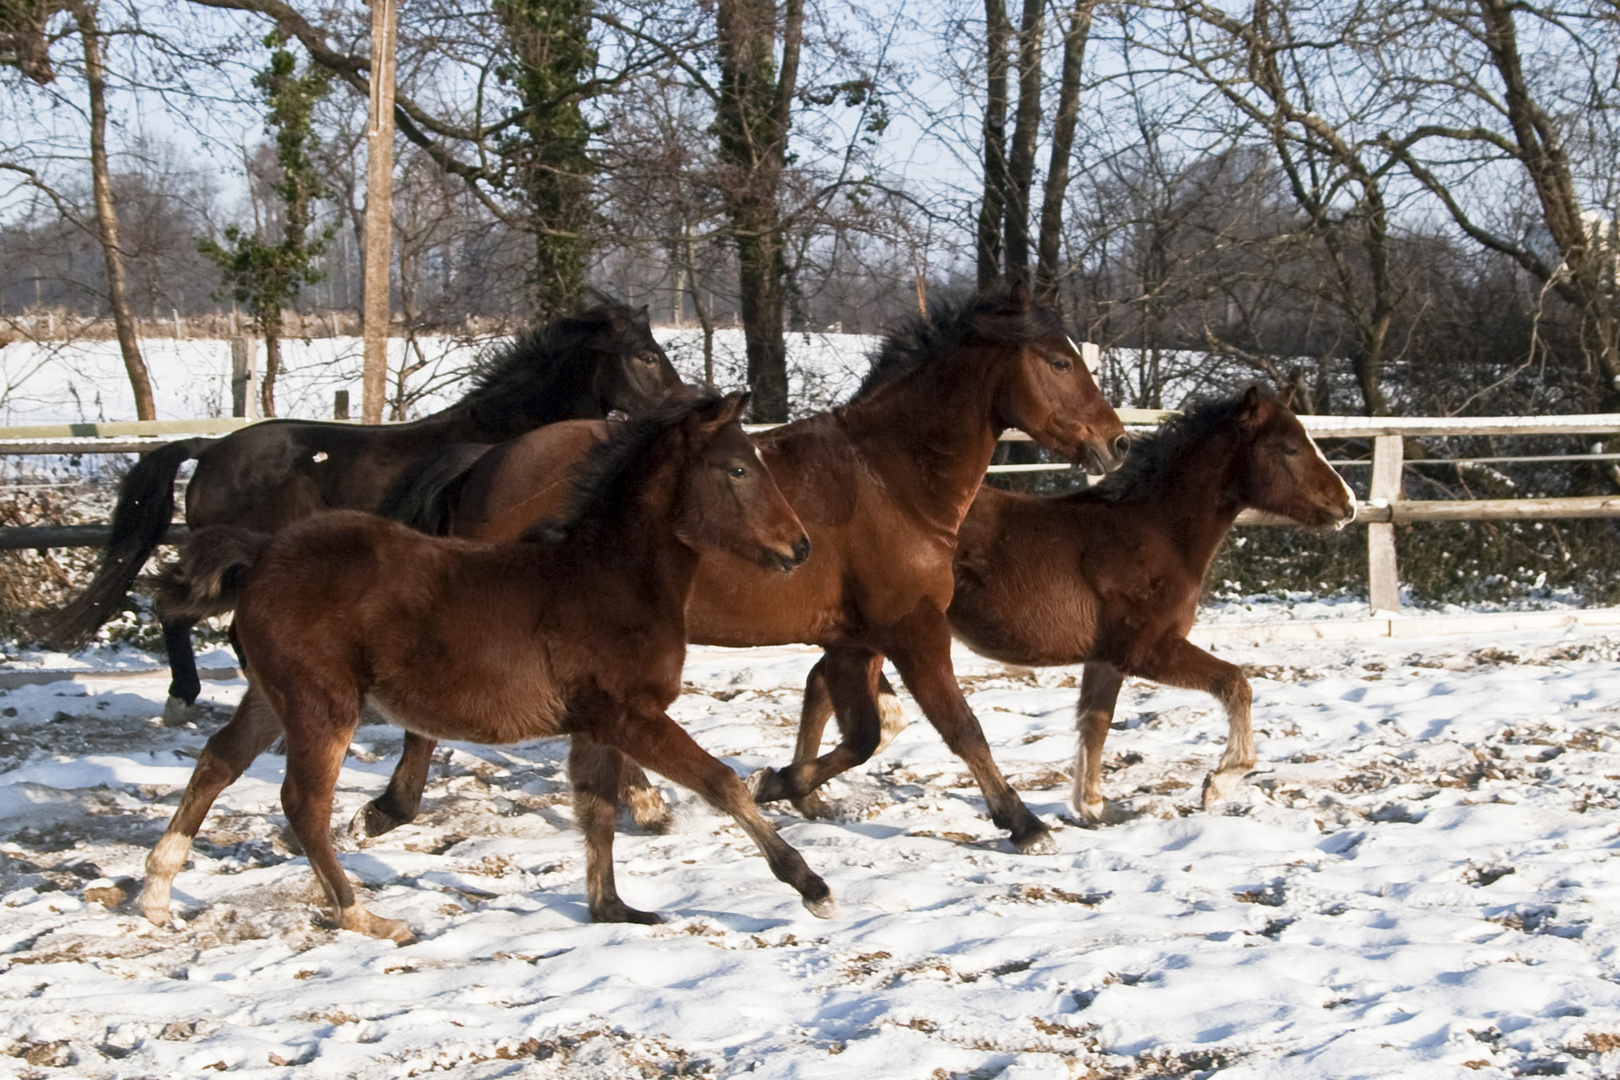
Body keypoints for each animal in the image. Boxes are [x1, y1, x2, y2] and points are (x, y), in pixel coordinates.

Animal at [140, 393, 829, 939]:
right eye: (737, 469)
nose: (799, 547)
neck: (610, 579)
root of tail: (262, 554)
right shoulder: (631, 714)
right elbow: (722, 782)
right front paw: (810, 886)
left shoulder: (595, 724)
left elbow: (598, 812)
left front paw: (613, 909)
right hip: (321, 705)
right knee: (303, 803)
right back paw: (366, 917)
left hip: (271, 696)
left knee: (217, 762)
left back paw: (155, 892)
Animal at [356, 283, 1127, 854]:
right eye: (1059, 362)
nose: (1115, 442)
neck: (888, 480)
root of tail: (484, 464)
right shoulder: (912, 630)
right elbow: (959, 726)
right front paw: (1022, 823)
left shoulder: (852, 642)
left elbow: (862, 733)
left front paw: (781, 784)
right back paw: (395, 808)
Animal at [784, 388, 1354, 829]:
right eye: (1289, 448)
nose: (1346, 504)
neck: (1153, 532)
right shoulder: (1148, 650)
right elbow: (1236, 682)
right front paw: (1219, 783)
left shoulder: (1106, 657)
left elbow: (1096, 723)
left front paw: (1094, 806)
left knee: (820, 684)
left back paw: (805, 796)